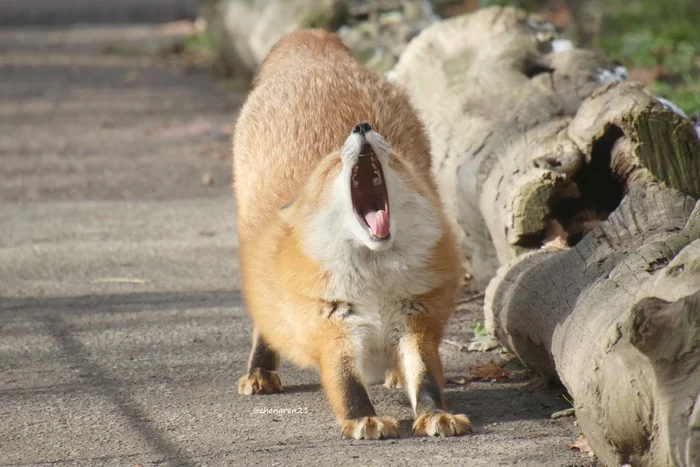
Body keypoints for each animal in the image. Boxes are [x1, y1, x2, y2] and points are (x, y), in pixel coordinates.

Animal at [231, 30, 470, 442]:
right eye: (330, 165)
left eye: (394, 159)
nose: (360, 127)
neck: (375, 282)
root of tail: (315, 46)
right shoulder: (331, 328)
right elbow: (347, 384)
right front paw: (363, 419)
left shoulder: (415, 318)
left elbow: (425, 377)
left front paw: (435, 414)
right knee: (263, 317)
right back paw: (260, 369)